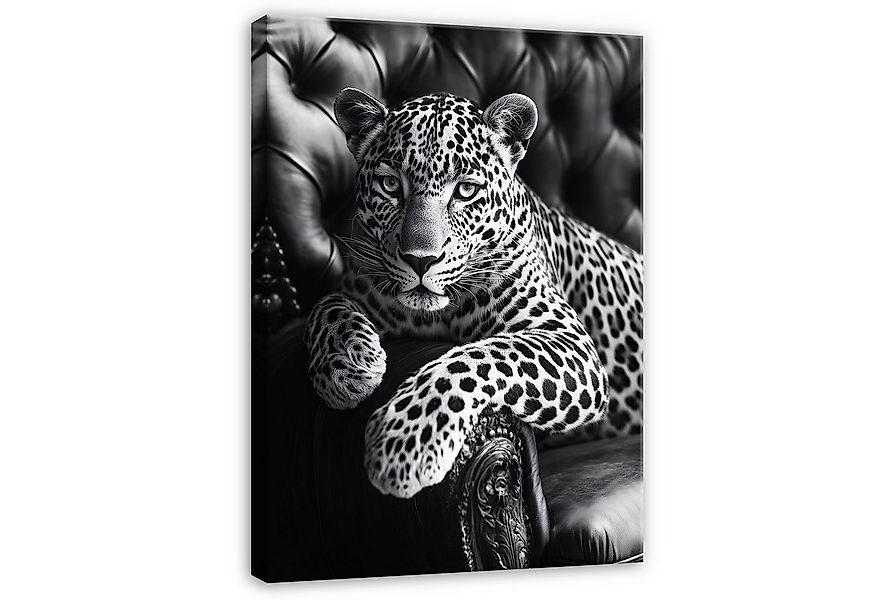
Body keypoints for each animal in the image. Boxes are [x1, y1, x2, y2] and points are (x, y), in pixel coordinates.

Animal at [305, 88, 643, 499]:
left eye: (466, 190)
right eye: (391, 186)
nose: (420, 260)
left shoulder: (570, 342)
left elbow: (478, 357)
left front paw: (404, 443)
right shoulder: (357, 285)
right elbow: (325, 305)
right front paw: (348, 364)